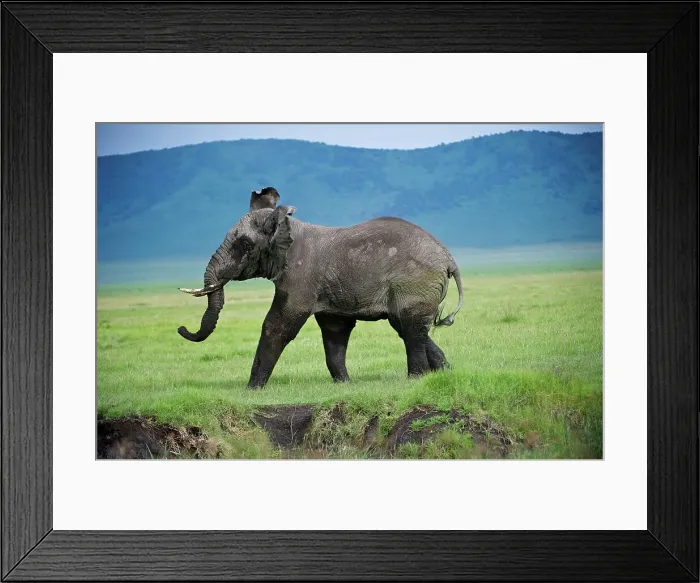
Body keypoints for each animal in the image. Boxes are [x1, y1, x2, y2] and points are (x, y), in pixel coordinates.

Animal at [178, 187, 464, 389]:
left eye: (245, 245)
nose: (181, 329)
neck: (287, 226)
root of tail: (449, 259)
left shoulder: (300, 275)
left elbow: (278, 324)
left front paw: (252, 390)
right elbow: (335, 330)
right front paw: (345, 385)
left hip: (415, 282)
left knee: (411, 328)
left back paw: (415, 379)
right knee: (408, 327)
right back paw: (444, 373)